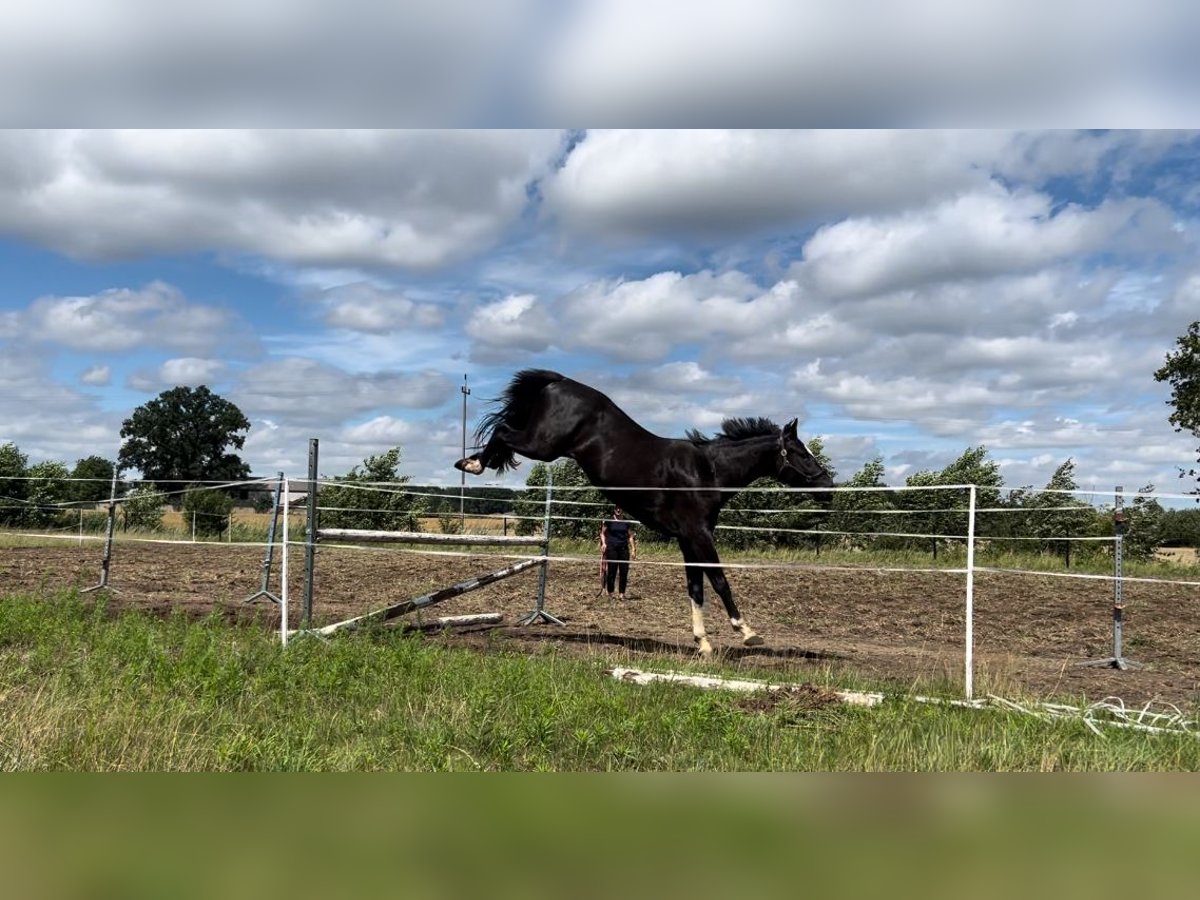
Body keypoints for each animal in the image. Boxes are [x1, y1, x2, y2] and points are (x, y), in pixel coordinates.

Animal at [453, 369, 840, 657]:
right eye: (800, 453)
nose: (829, 487)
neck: (707, 470)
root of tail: (559, 380)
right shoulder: (699, 535)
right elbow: (719, 580)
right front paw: (747, 632)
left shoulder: (688, 539)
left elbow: (696, 587)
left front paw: (703, 644)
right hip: (543, 445)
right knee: (503, 431)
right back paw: (472, 463)